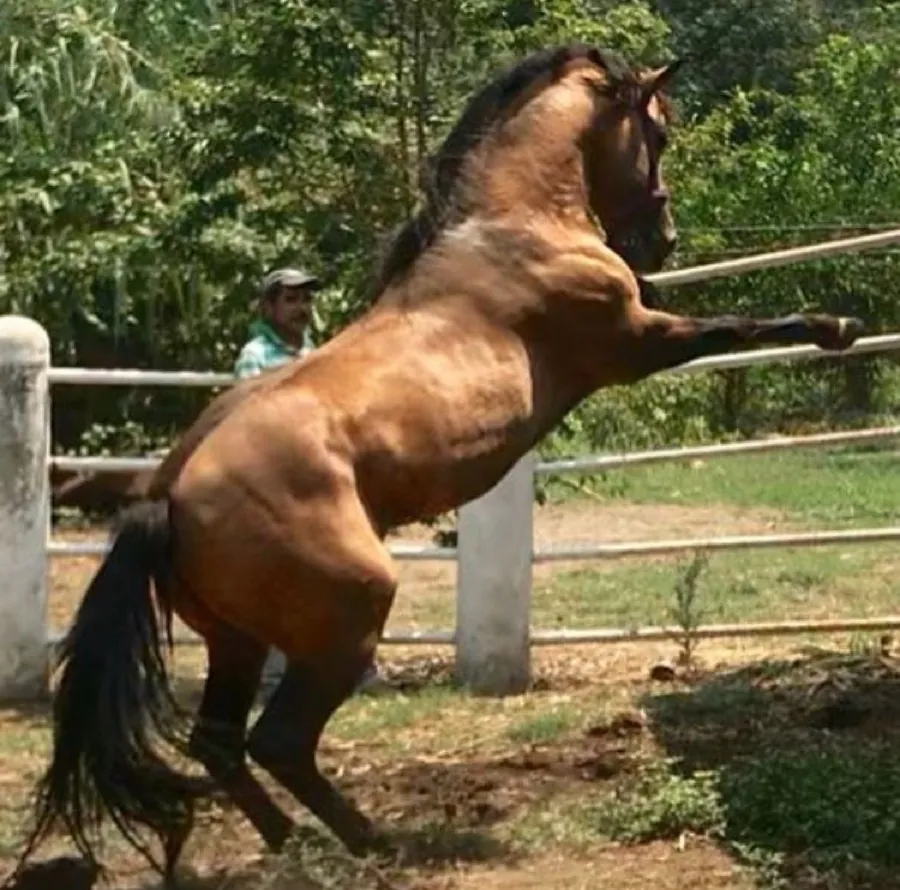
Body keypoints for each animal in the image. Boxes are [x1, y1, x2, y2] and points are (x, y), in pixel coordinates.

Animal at [9, 43, 863, 885]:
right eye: (658, 132)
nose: (664, 239)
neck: (514, 226)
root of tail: (168, 498)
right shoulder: (636, 342)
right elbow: (739, 325)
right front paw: (834, 326)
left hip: (236, 639)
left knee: (219, 742)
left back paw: (300, 846)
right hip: (349, 611)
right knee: (277, 741)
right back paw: (373, 844)